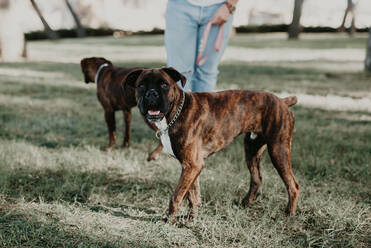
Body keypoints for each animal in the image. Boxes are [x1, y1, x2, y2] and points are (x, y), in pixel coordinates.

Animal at [123, 66, 300, 223]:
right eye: (141, 86)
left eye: (164, 84)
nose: (151, 94)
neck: (176, 113)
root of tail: (282, 101)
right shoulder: (192, 166)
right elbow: (192, 195)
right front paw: (190, 218)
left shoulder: (191, 165)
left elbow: (176, 196)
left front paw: (169, 219)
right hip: (252, 150)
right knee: (257, 179)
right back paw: (245, 204)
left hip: (278, 150)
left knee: (293, 185)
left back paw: (289, 215)